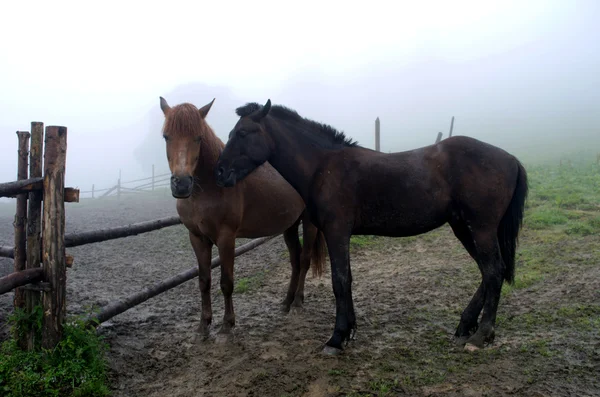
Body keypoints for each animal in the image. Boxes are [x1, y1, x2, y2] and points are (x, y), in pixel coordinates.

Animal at [159, 96, 326, 338]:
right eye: (166, 136)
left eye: (198, 137)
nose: (181, 184)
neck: (209, 188)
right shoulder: (197, 238)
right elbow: (204, 281)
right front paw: (203, 326)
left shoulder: (226, 238)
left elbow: (226, 282)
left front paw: (227, 325)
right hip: (290, 225)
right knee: (295, 260)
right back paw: (286, 302)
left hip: (309, 222)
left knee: (303, 260)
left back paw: (297, 302)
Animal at [213, 100, 528, 354]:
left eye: (242, 133)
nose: (220, 172)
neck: (323, 167)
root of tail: (511, 158)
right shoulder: (339, 234)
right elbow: (348, 279)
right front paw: (349, 330)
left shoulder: (337, 231)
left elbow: (340, 281)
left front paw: (336, 338)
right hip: (463, 228)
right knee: (489, 272)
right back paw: (465, 326)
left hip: (481, 229)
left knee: (493, 271)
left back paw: (481, 335)